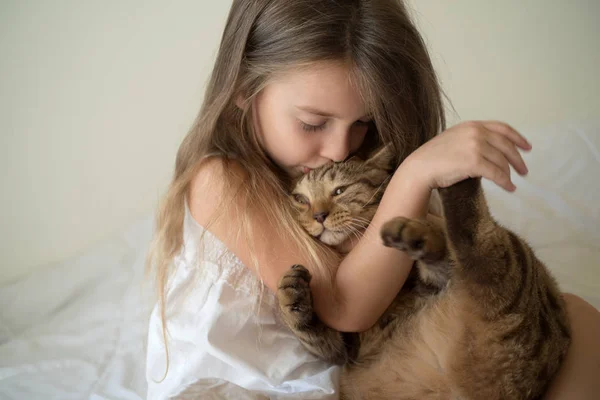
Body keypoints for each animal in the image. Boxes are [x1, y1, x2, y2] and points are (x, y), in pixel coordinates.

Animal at [276, 147, 572, 400]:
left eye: (339, 190)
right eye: (301, 200)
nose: (319, 216)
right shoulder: (346, 347)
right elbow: (314, 333)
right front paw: (293, 295)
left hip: (523, 278)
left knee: (483, 248)